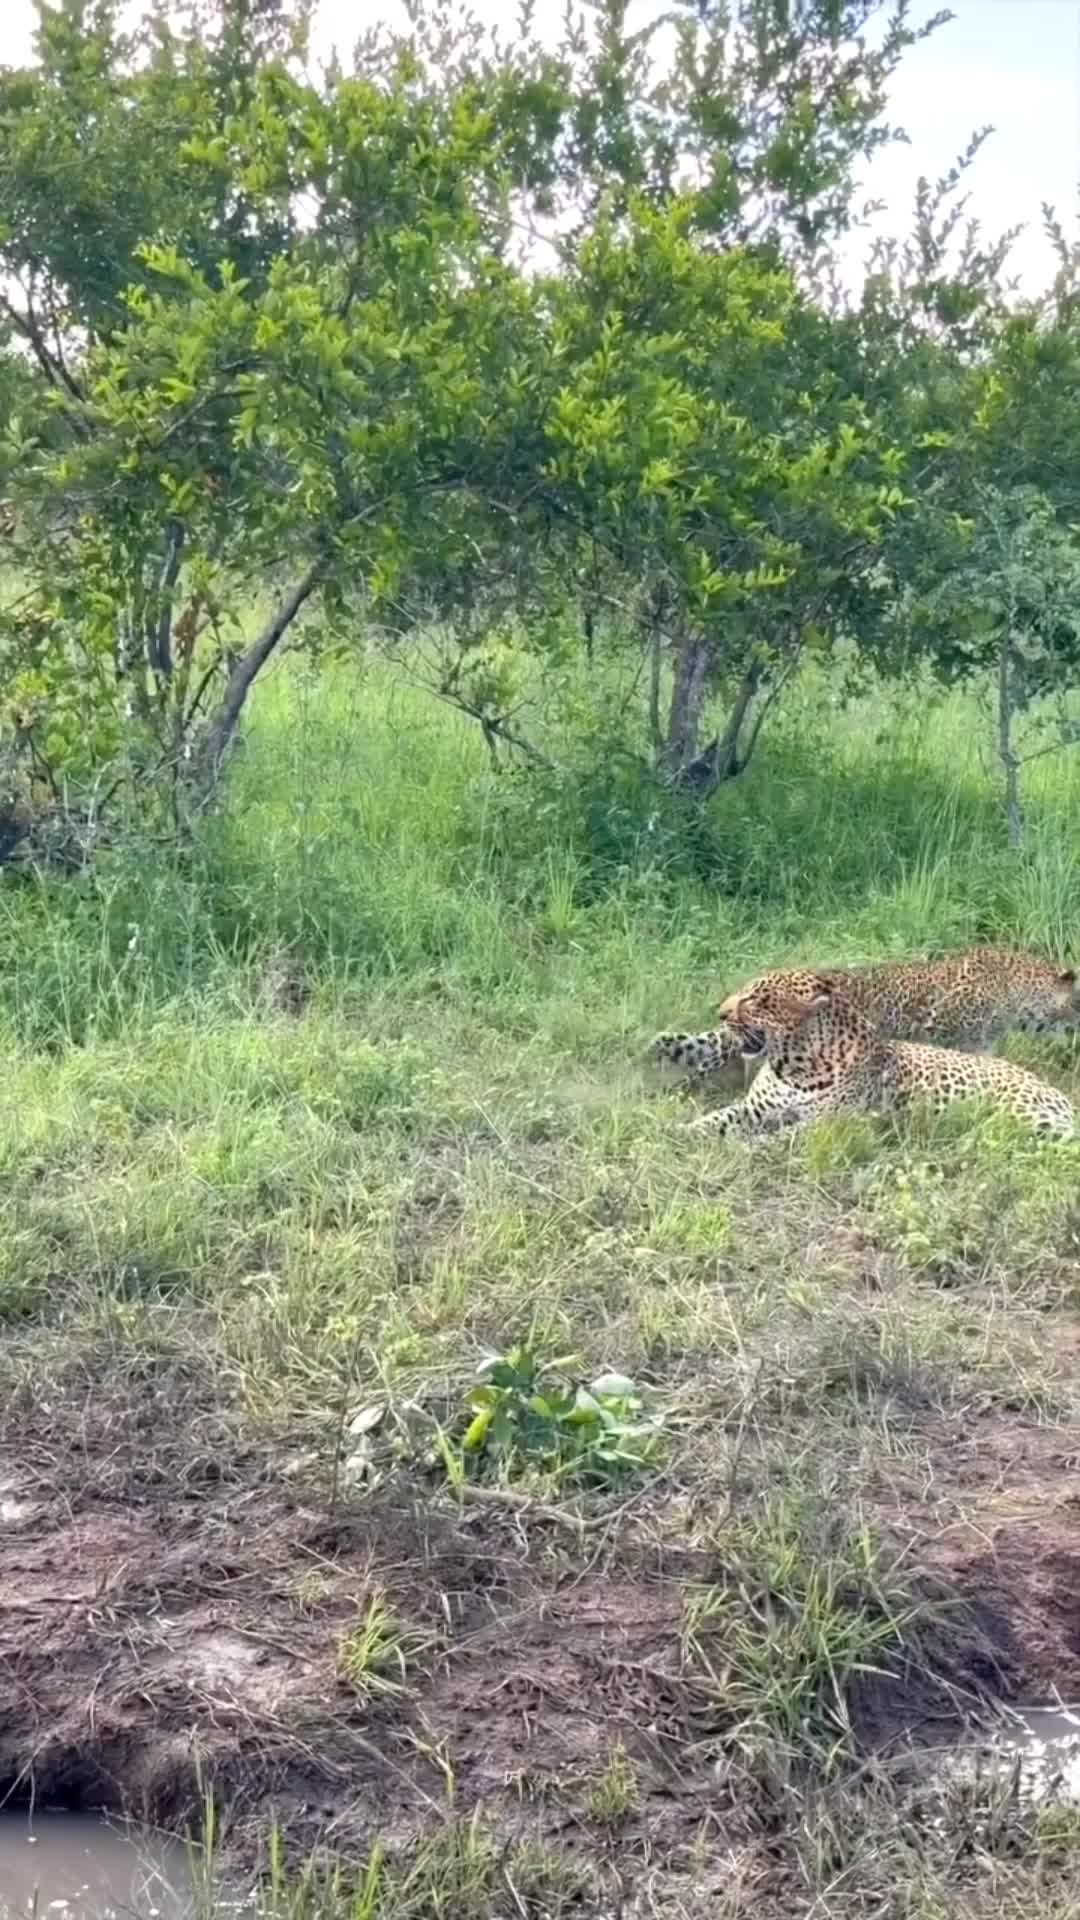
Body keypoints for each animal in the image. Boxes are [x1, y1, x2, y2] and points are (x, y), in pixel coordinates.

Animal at [685, 972, 1076, 1141]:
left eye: (755, 999)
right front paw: (679, 1133)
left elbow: (779, 1136)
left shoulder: (827, 1123)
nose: (719, 1013)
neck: (794, 1067)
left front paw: (746, 1146)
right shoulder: (753, 1108)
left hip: (1030, 1116)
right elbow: (715, 1119)